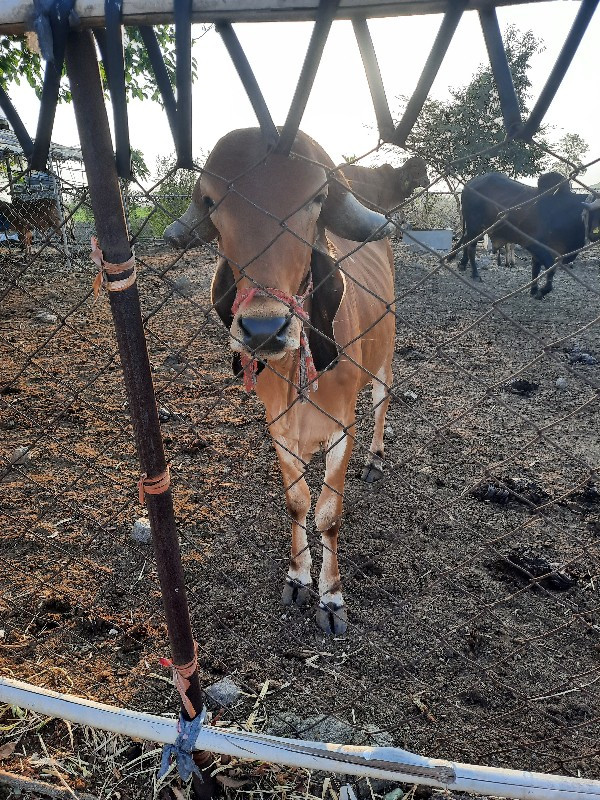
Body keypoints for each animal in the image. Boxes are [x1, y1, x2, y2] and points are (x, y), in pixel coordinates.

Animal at [165, 130, 398, 632]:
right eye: (212, 201)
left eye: (317, 198)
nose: (263, 330)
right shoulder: (278, 428)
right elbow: (297, 501)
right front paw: (298, 577)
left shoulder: (342, 429)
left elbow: (328, 513)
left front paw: (331, 597)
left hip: (385, 360)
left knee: (382, 401)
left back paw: (376, 457)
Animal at [452, 172, 596, 296]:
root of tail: (469, 185)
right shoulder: (534, 245)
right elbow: (550, 268)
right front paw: (542, 291)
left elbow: (536, 268)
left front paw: (534, 290)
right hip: (474, 226)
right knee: (471, 247)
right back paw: (475, 274)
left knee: (466, 241)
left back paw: (462, 264)